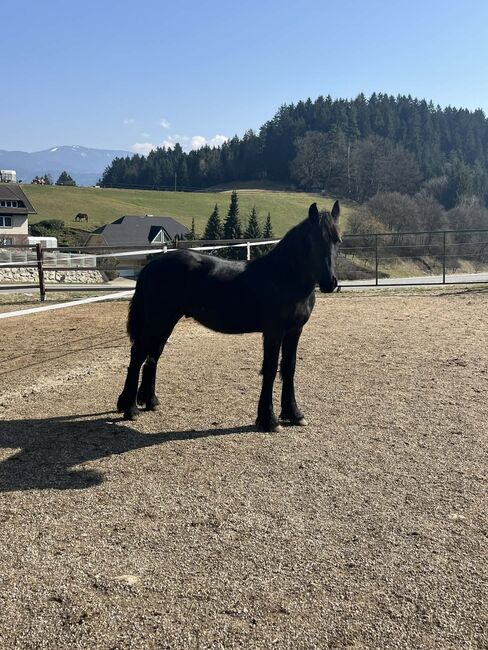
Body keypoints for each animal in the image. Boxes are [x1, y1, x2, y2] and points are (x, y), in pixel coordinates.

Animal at [117, 201, 341, 432]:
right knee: (138, 354)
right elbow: (270, 369)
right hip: (157, 319)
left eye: (337, 240)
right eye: (313, 239)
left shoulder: (294, 331)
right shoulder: (273, 332)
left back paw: (150, 401)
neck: (284, 277)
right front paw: (268, 419)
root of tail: (152, 265)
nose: (330, 283)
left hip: (166, 321)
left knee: (153, 355)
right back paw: (129, 408)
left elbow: (289, 368)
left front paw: (294, 414)